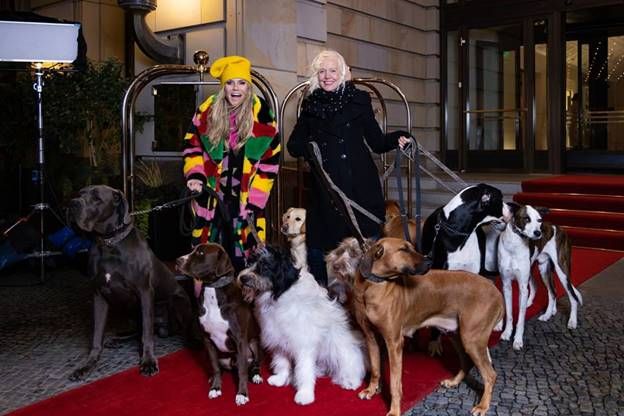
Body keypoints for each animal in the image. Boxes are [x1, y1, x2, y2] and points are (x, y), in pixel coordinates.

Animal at [176, 242, 264, 404]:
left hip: (254, 344)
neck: (213, 290)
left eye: (201, 253)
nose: (178, 260)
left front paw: (242, 394)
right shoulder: (207, 340)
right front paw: (216, 388)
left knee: (254, 363)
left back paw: (256, 375)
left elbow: (242, 371)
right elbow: (215, 367)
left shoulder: (240, 339)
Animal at [238, 245, 366, 404]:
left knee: (351, 363)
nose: (243, 278)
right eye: (249, 263)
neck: (279, 294)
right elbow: (282, 362)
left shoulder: (304, 345)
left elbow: (304, 371)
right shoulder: (278, 340)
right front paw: (281, 379)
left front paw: (304, 394)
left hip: (342, 351)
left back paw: (350, 380)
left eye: (265, 267)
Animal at [332, 237, 502, 416]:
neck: (372, 286)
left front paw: (394, 410)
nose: (429, 261)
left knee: (490, 375)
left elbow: (395, 383)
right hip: (456, 334)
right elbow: (376, 370)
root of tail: (496, 291)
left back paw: (483, 406)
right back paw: (454, 382)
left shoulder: (394, 343)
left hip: (472, 340)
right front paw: (371, 390)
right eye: (404, 250)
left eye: (411, 248)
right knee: (466, 362)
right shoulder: (371, 338)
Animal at [494, 203, 584, 350]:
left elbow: (521, 318)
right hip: (544, 269)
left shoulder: (523, 287)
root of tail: (558, 227)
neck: (514, 244)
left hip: (562, 271)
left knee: (572, 297)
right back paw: (547, 314)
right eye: (526, 218)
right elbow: (509, 314)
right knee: (552, 292)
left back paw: (572, 321)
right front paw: (507, 332)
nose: (538, 233)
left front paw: (517, 340)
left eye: (539, 220)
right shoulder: (506, 285)